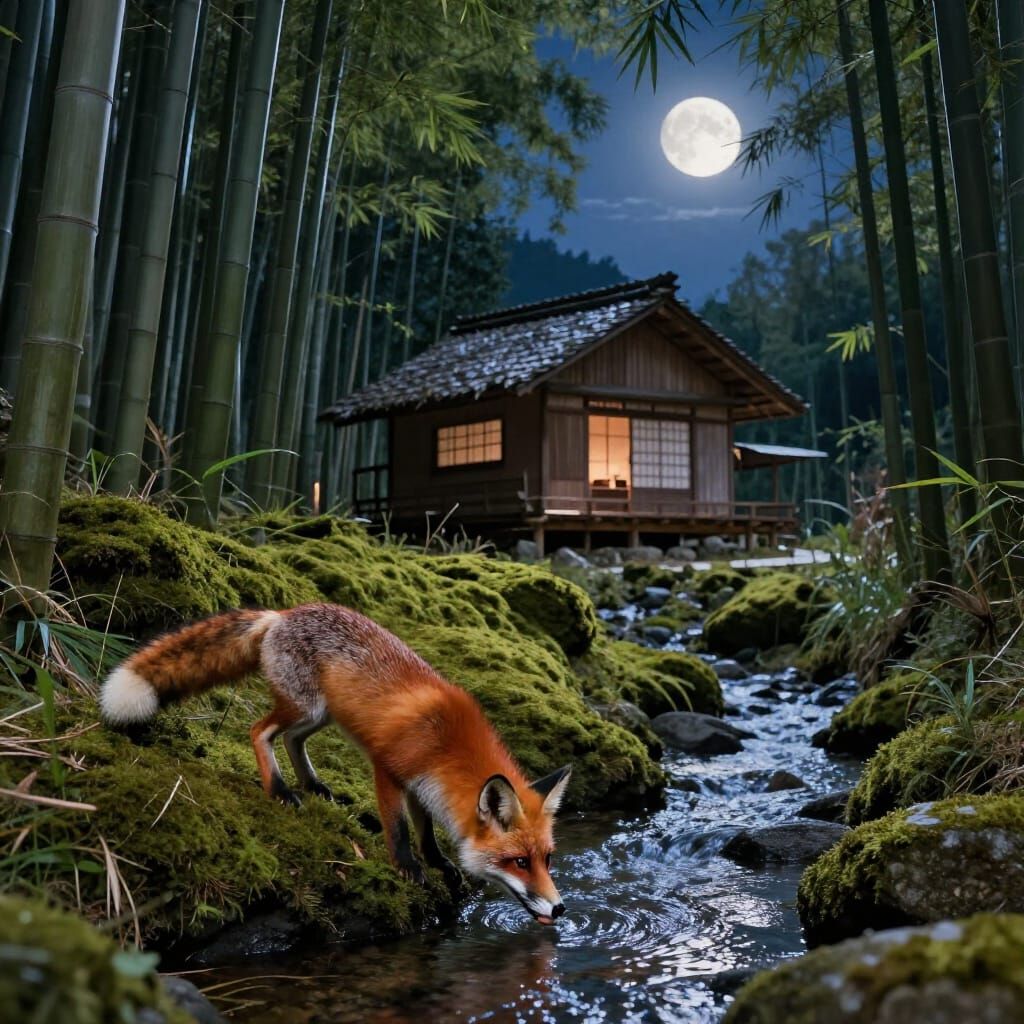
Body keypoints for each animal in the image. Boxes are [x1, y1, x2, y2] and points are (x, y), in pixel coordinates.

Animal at [99, 603, 571, 925]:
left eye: (547, 858)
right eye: (519, 862)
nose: (561, 908)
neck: (447, 747)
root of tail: (282, 614)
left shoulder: (423, 785)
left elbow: (427, 833)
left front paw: (438, 864)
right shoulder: (389, 770)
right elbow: (400, 830)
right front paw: (409, 869)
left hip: (320, 715)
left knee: (291, 740)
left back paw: (313, 785)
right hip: (305, 706)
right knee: (259, 731)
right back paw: (280, 791)